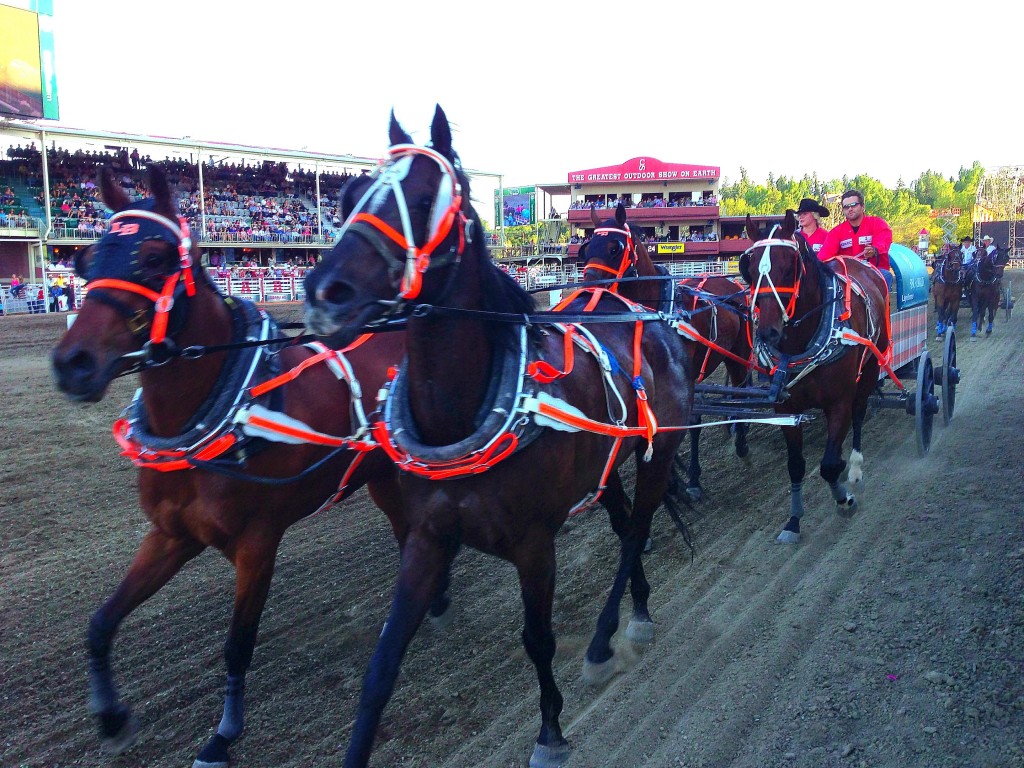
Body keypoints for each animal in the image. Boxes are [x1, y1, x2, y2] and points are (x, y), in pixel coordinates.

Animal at [49, 166, 417, 768]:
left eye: (155, 258)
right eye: (86, 259)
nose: (72, 364)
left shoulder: (257, 544)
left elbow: (237, 645)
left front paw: (222, 734)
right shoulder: (171, 535)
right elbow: (101, 623)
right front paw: (111, 716)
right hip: (383, 478)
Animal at [299, 108, 692, 768]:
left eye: (425, 199)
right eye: (350, 198)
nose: (327, 293)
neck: (464, 415)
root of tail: (652, 327)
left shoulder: (534, 544)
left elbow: (537, 638)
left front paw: (550, 729)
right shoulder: (427, 537)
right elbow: (381, 668)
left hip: (656, 453)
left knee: (637, 532)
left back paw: (609, 633)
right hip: (605, 467)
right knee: (624, 526)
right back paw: (635, 606)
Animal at [585, 204, 753, 501]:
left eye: (615, 247)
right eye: (588, 245)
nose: (588, 285)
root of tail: (733, 287)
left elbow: (689, 421)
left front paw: (688, 479)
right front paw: (677, 481)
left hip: (738, 352)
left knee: (740, 388)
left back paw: (742, 440)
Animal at [741, 210, 892, 544]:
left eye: (789, 266)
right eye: (749, 268)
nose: (768, 333)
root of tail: (863, 265)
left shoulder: (839, 402)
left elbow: (828, 465)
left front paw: (844, 499)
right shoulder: (786, 409)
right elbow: (796, 466)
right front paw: (793, 520)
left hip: (869, 371)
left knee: (859, 415)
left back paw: (855, 469)